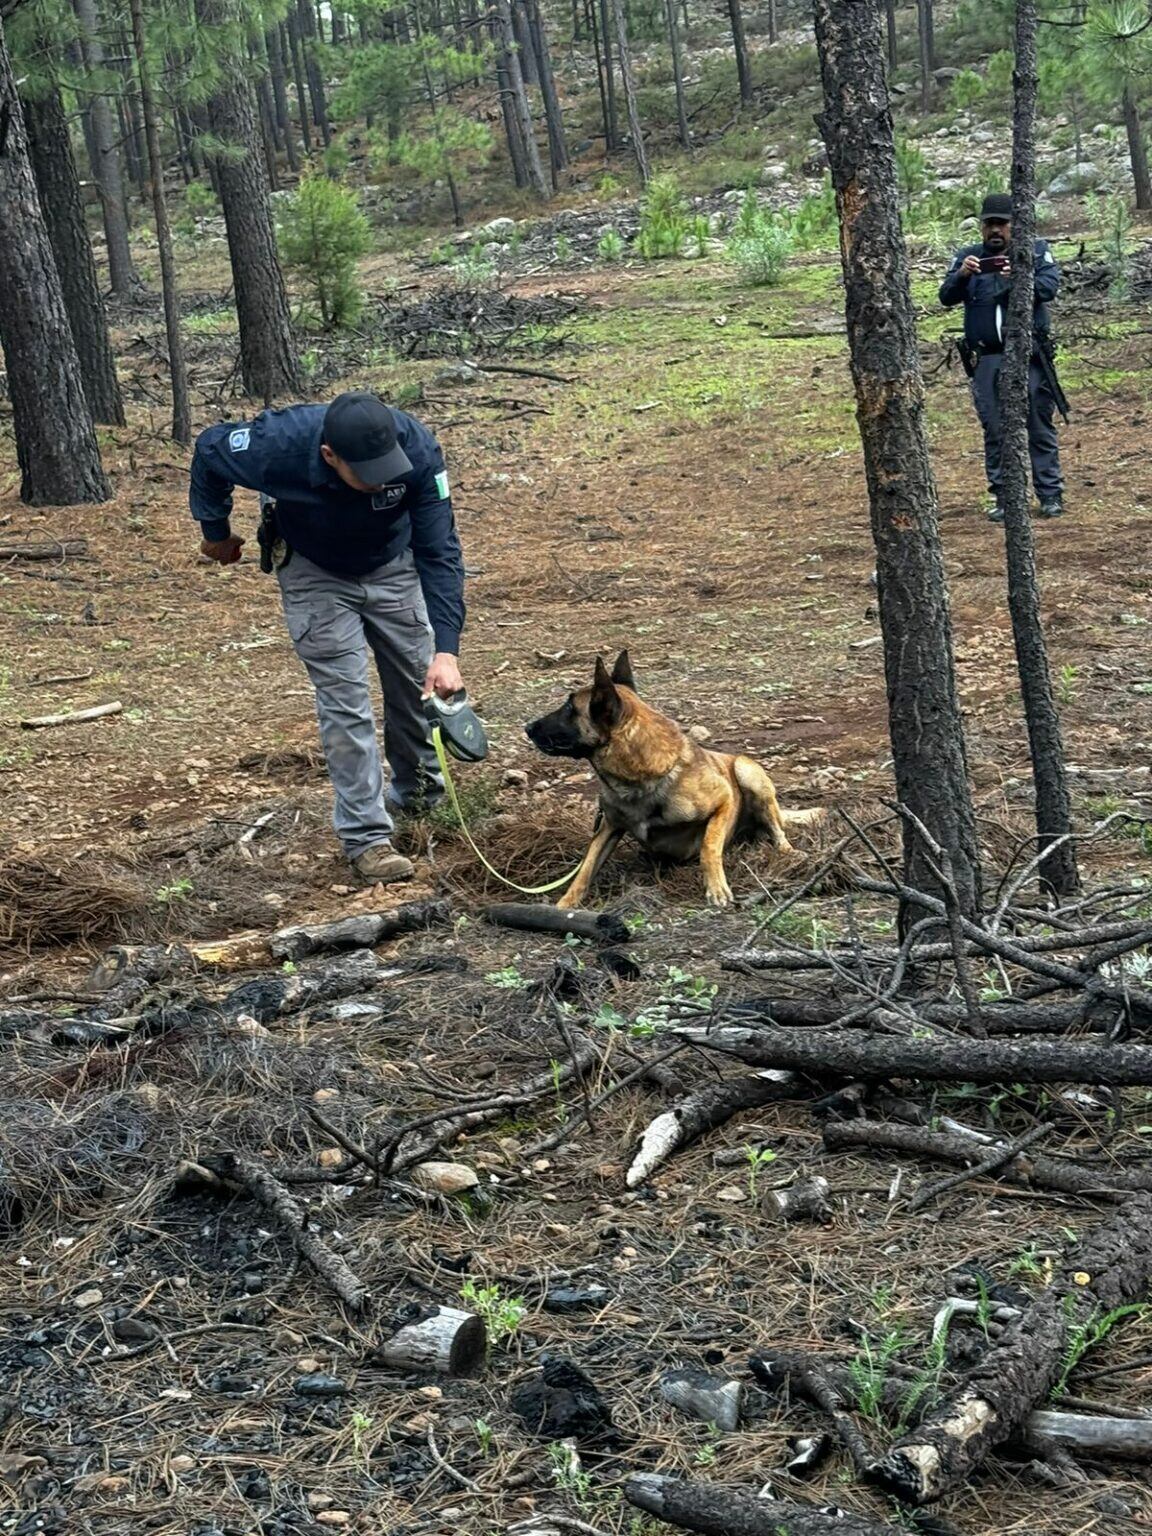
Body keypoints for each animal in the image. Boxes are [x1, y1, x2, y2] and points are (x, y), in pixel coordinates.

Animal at [528, 651, 823, 909]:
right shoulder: (609, 827)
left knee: (777, 829)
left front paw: (716, 888)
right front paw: (565, 904)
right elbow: (586, 868)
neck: (640, 779)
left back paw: (787, 850)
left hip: (746, 771)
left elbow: (708, 847)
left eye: (569, 707)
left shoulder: (724, 799)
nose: (527, 727)